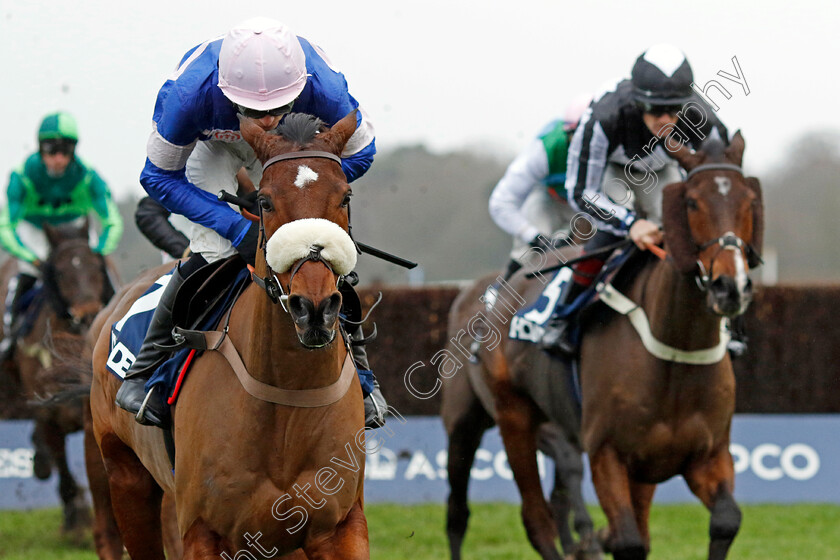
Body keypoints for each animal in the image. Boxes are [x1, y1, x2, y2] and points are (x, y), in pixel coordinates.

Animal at [0, 221, 113, 540]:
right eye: (61, 272)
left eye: (96, 267)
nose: (87, 315)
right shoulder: (48, 415)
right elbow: (64, 472)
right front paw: (76, 524)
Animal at [88, 111, 370, 556]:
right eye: (266, 202)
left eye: (345, 196)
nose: (314, 309)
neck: (288, 396)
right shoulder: (203, 532)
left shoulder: (340, 526)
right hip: (125, 477)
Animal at [580, 129, 764, 556]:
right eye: (692, 202)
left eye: (749, 201)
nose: (731, 288)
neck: (678, 348)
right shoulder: (604, 452)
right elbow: (627, 540)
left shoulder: (707, 455)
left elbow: (727, 520)